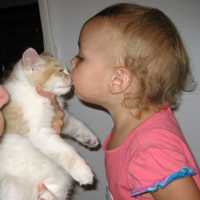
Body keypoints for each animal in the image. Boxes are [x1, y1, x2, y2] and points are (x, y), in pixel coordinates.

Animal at [0, 48, 99, 200]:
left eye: (66, 71)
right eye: (60, 71)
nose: (71, 79)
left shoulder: (62, 116)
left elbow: (77, 125)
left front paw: (90, 138)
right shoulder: (39, 132)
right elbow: (67, 152)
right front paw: (84, 172)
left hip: (62, 178)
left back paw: (44, 195)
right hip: (10, 186)